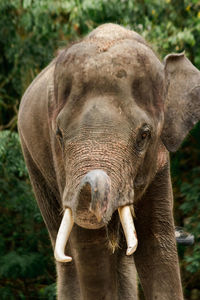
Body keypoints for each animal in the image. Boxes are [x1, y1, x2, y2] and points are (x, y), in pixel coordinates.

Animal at [18, 24, 200, 300]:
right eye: (59, 134)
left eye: (144, 135)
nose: (187, 236)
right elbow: (89, 247)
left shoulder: (159, 164)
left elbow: (156, 241)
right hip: (33, 161)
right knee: (66, 253)